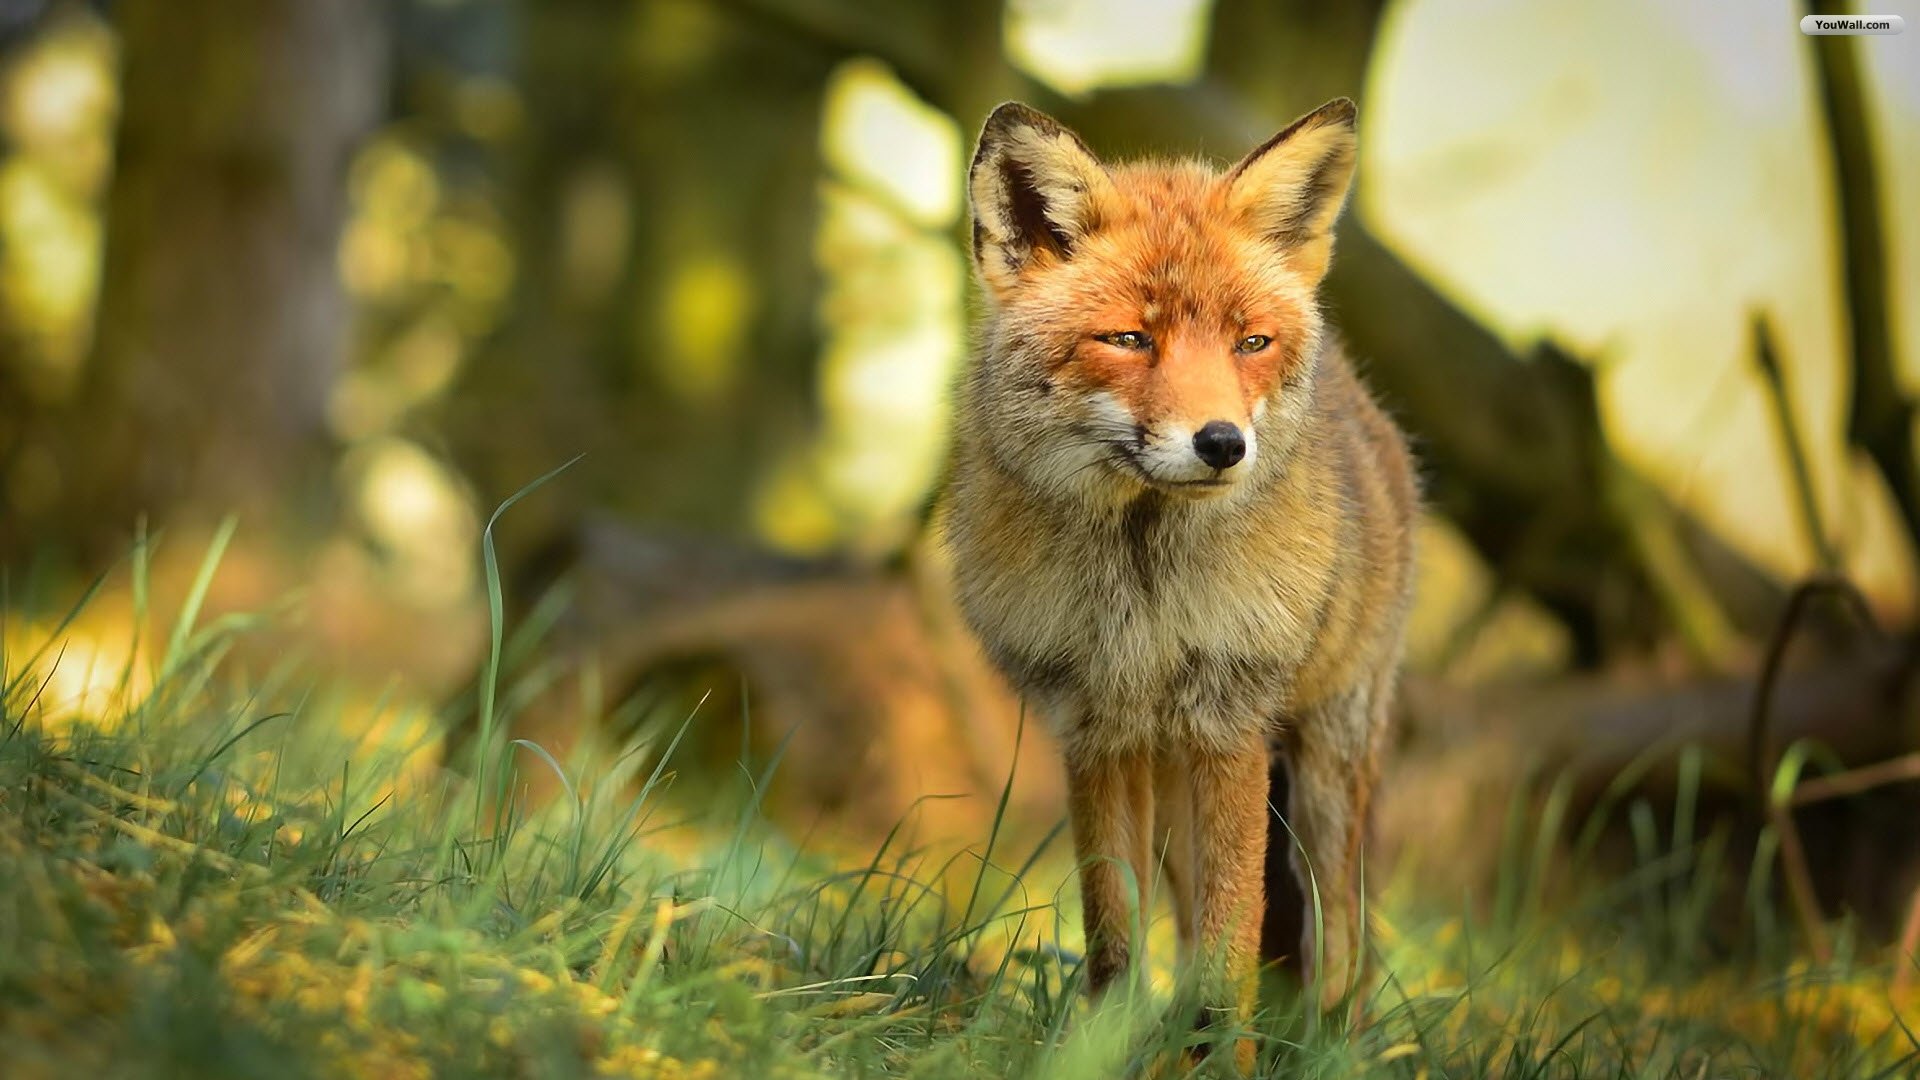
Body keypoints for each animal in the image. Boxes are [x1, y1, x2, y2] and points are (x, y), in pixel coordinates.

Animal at [939, 97, 1417, 1064]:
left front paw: (1230, 1061)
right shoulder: (1095, 729)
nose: (1224, 443)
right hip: (1172, 791)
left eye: (1251, 343)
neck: (1141, 595)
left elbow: (1237, 950)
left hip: (1324, 777)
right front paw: (1102, 1056)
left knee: (1339, 947)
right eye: (1129, 338)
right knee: (1196, 931)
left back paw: (1324, 1051)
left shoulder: (1230, 722)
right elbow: (1117, 942)